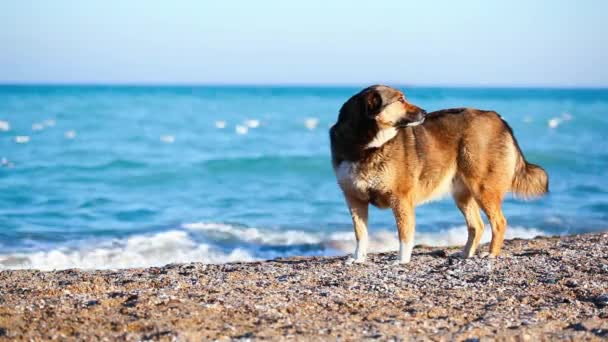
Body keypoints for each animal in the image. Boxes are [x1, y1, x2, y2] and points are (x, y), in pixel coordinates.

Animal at [330, 85, 548, 264]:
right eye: (400, 100)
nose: (425, 112)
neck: (366, 145)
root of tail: (497, 117)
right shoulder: (354, 200)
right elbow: (361, 234)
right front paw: (358, 258)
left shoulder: (400, 199)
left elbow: (404, 235)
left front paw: (401, 261)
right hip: (462, 194)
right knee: (477, 226)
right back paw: (465, 255)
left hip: (482, 188)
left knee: (499, 222)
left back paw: (491, 254)